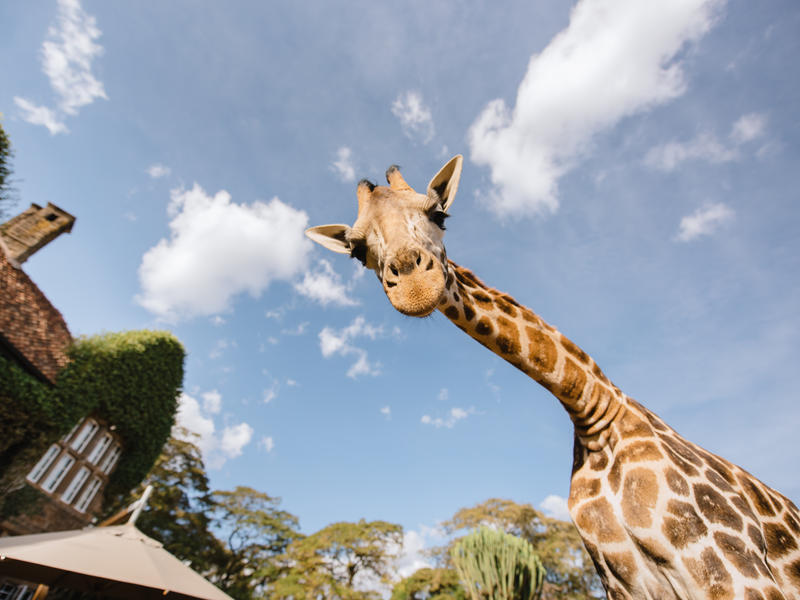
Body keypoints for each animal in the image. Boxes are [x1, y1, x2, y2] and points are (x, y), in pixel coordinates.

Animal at [306, 156, 800, 599]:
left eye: (439, 213)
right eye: (357, 251)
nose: (413, 286)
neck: (592, 411)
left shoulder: (732, 570)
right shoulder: (627, 584)